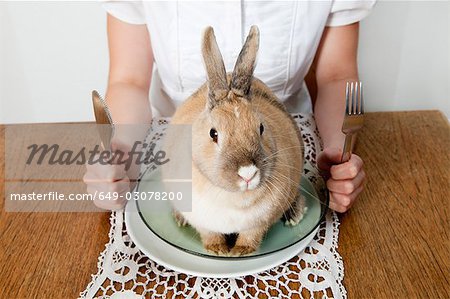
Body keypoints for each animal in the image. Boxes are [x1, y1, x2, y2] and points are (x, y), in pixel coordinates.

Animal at [169, 25, 306, 258]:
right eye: (213, 133)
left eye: (261, 127)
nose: (248, 173)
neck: (233, 198)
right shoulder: (203, 222)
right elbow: (210, 234)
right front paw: (218, 250)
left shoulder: (257, 225)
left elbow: (250, 236)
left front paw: (240, 252)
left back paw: (295, 215)